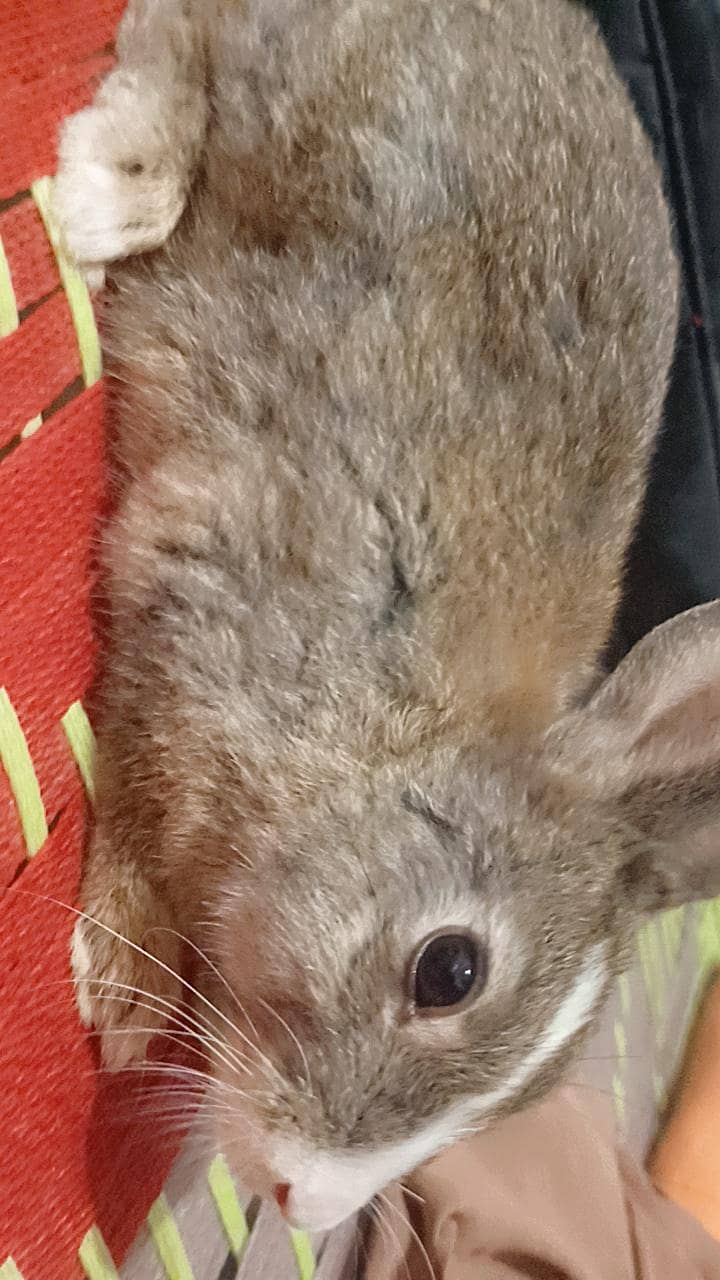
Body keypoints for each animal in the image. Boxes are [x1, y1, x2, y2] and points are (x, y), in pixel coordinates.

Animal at [53, 0, 720, 1235]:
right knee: (185, 34)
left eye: (525, 1104)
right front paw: (125, 984)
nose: (299, 1202)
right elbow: (131, 791)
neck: (383, 742)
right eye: (448, 969)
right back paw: (114, 191)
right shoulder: (186, 610)